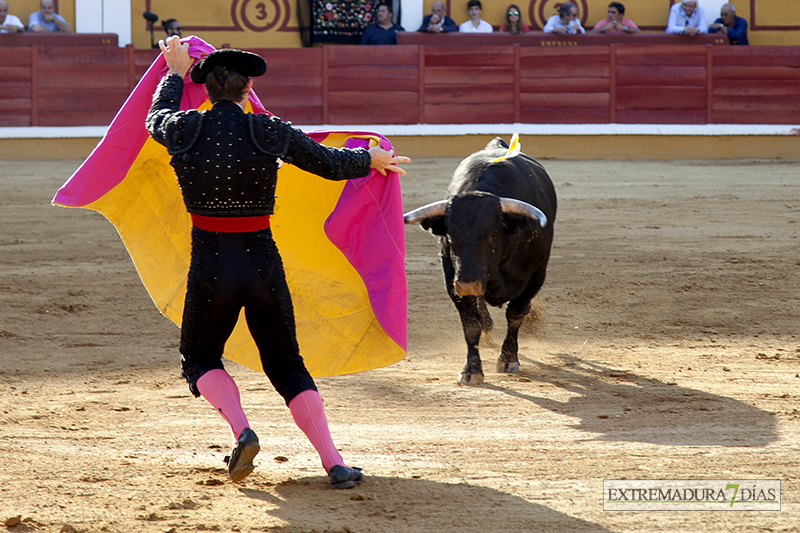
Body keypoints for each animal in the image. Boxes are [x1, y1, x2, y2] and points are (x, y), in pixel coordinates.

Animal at [406, 139, 556, 384]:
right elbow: (471, 324)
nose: (468, 284)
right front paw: (472, 370)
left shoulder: (535, 277)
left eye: (493, 234)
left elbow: (515, 315)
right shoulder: (453, 281)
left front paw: (508, 359)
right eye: (450, 236)